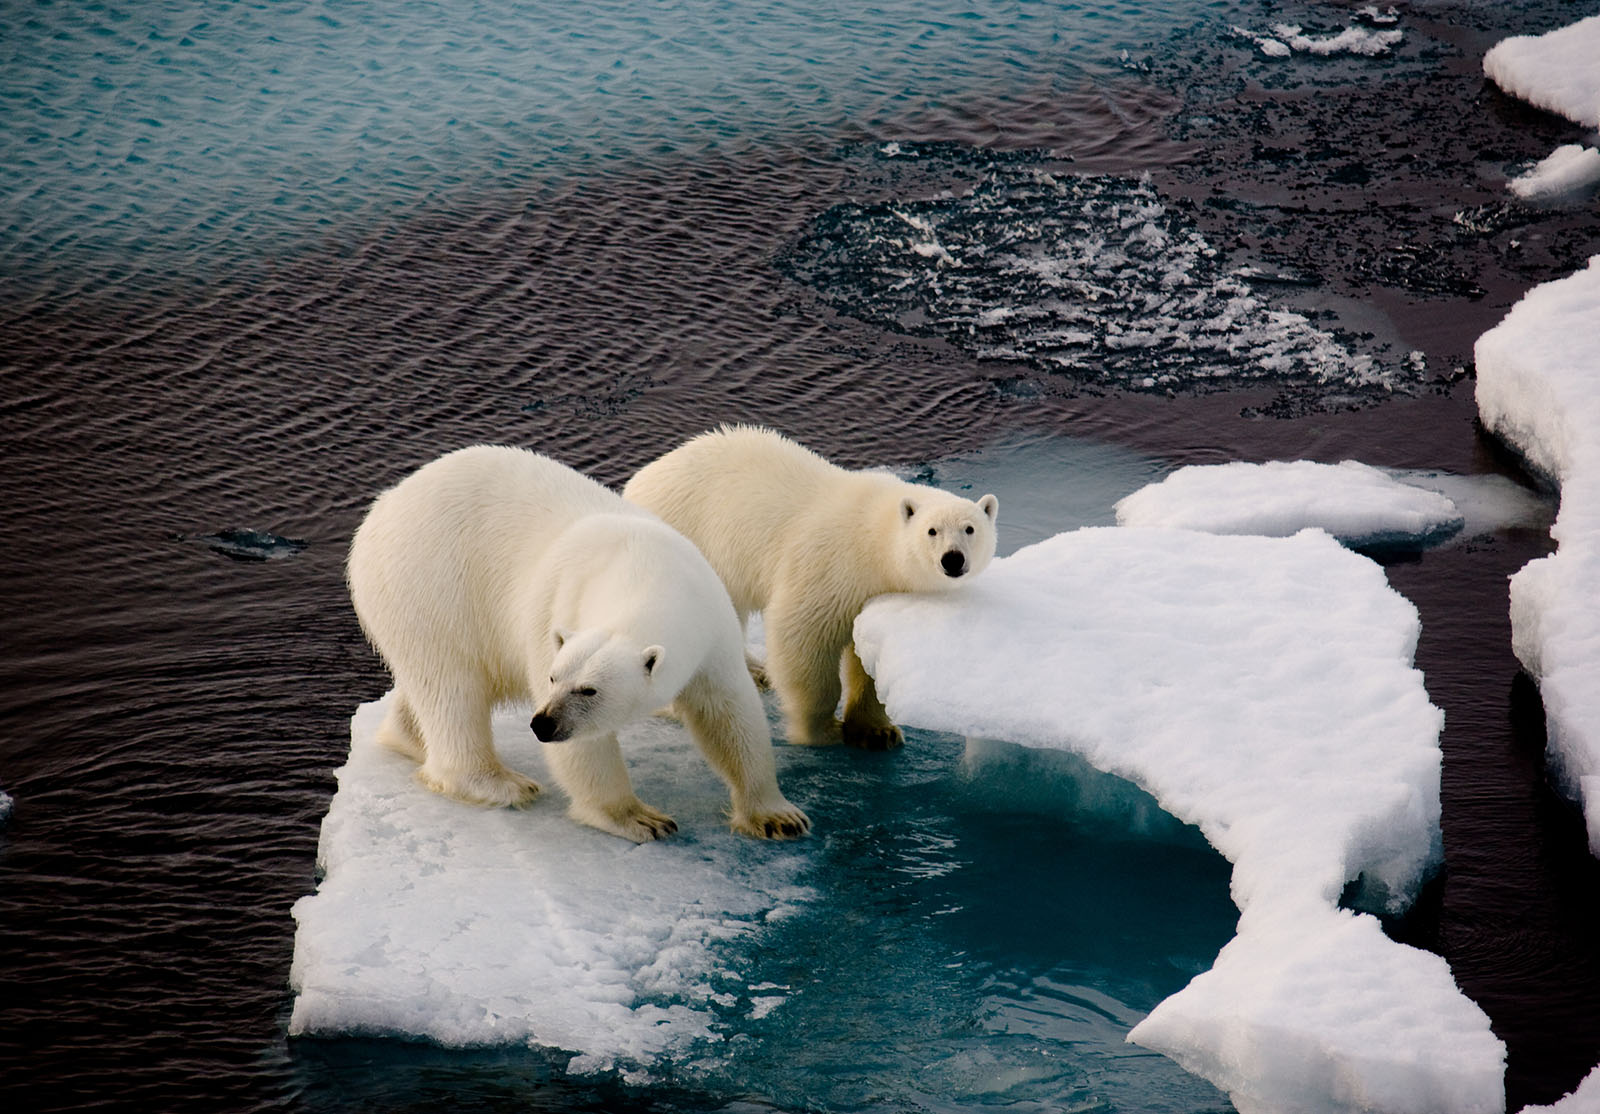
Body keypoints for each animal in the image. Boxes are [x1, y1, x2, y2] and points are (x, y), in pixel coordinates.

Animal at [344, 444, 806, 845]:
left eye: (589, 689)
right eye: (553, 678)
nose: (542, 724)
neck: (646, 569)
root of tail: (383, 506)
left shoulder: (710, 623)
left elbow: (729, 712)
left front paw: (777, 817)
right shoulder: (557, 605)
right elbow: (587, 751)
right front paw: (640, 818)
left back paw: (408, 737)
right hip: (430, 585)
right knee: (451, 687)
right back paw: (502, 784)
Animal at [627, 425, 992, 749]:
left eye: (970, 529)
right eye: (932, 530)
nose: (953, 560)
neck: (873, 538)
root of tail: (636, 483)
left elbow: (869, 656)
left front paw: (877, 732)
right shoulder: (830, 567)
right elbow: (803, 638)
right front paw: (821, 730)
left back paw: (755, 672)